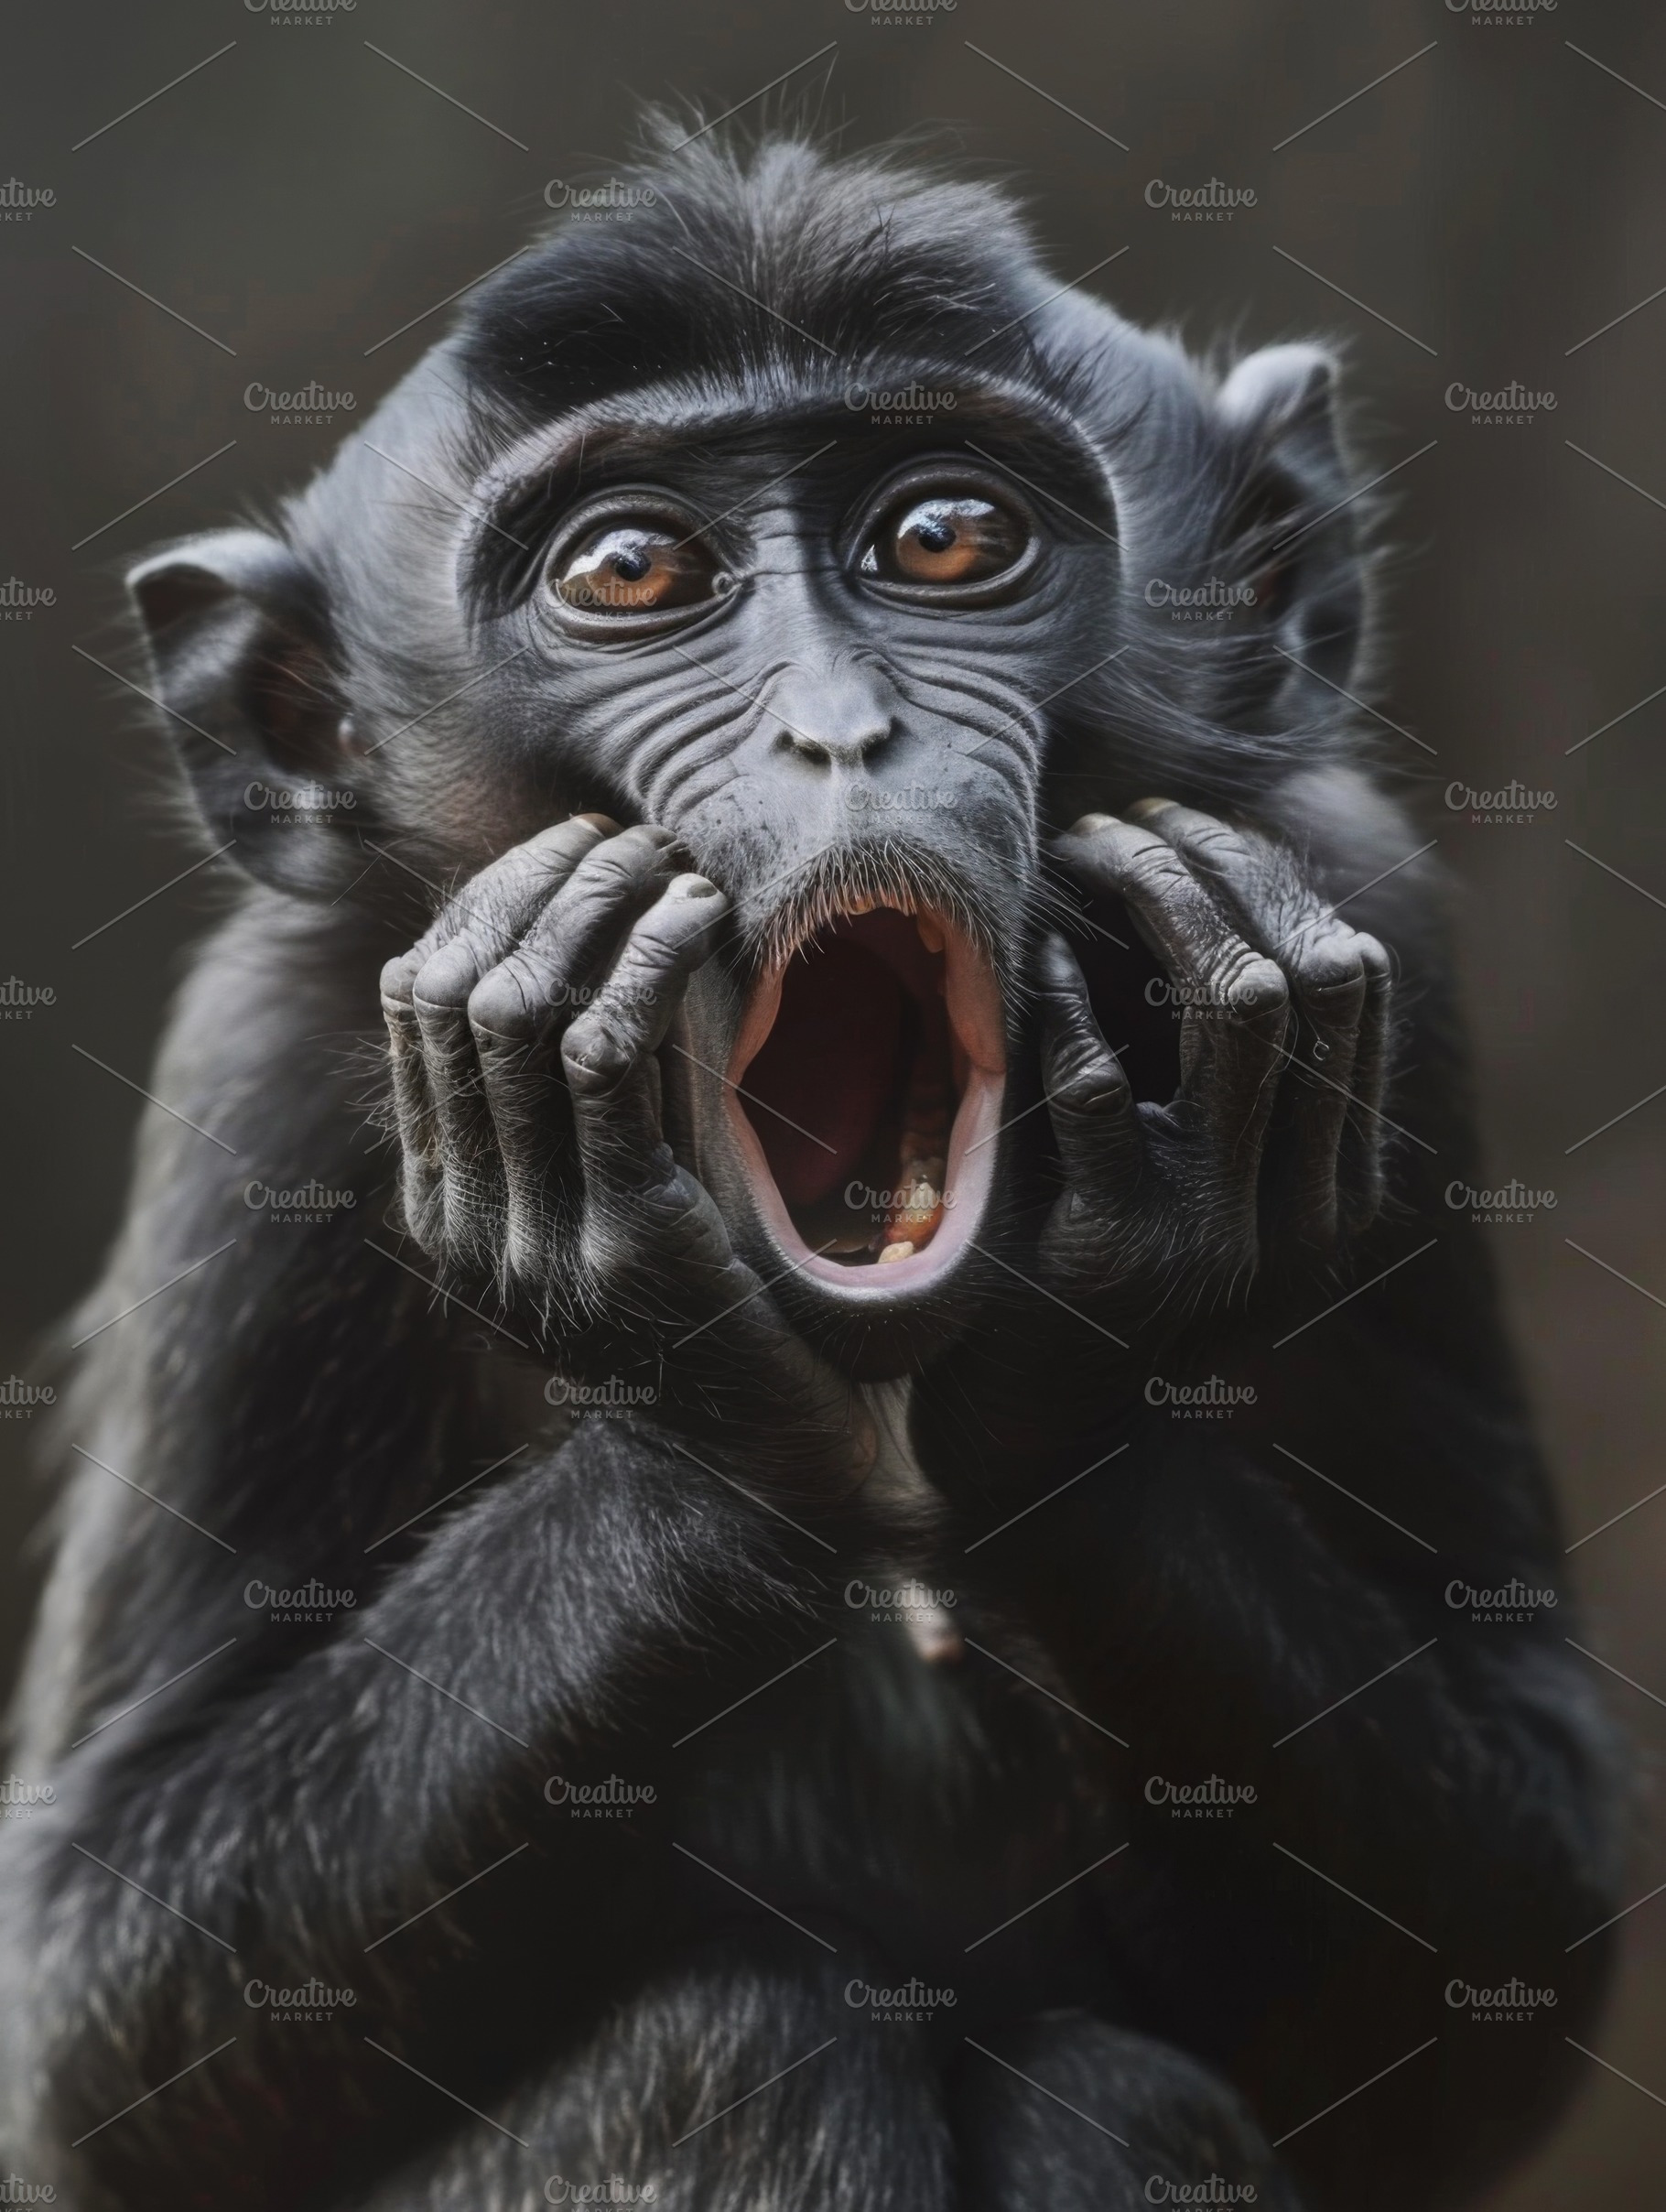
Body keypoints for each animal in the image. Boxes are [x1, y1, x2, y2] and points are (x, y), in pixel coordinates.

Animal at [0, 122, 1623, 2212]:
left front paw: (1093, 1348)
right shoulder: (259, 1074)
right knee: (736, 2046)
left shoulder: (1375, 920)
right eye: (631, 570)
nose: (841, 727)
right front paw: (692, 1398)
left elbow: (1497, 1942)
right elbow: (94, 2004)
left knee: (1116, 2096)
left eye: (943, 539)